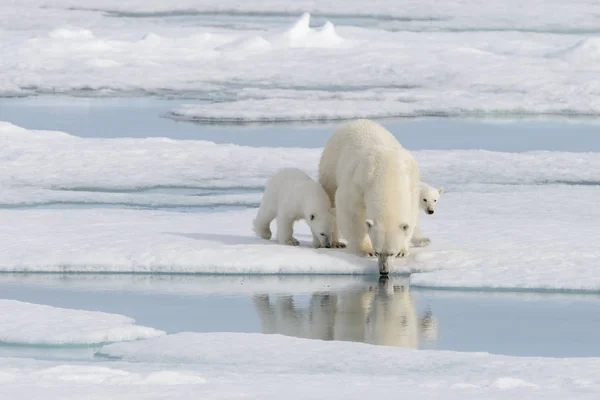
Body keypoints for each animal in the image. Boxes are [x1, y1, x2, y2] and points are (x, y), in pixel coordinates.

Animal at [316, 119, 420, 276]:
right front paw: (365, 249)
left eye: (392, 253)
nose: (384, 271)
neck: (388, 175)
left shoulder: (411, 182)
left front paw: (403, 250)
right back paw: (335, 241)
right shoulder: (360, 179)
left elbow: (411, 213)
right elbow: (349, 208)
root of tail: (354, 122)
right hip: (331, 163)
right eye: (377, 252)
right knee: (330, 198)